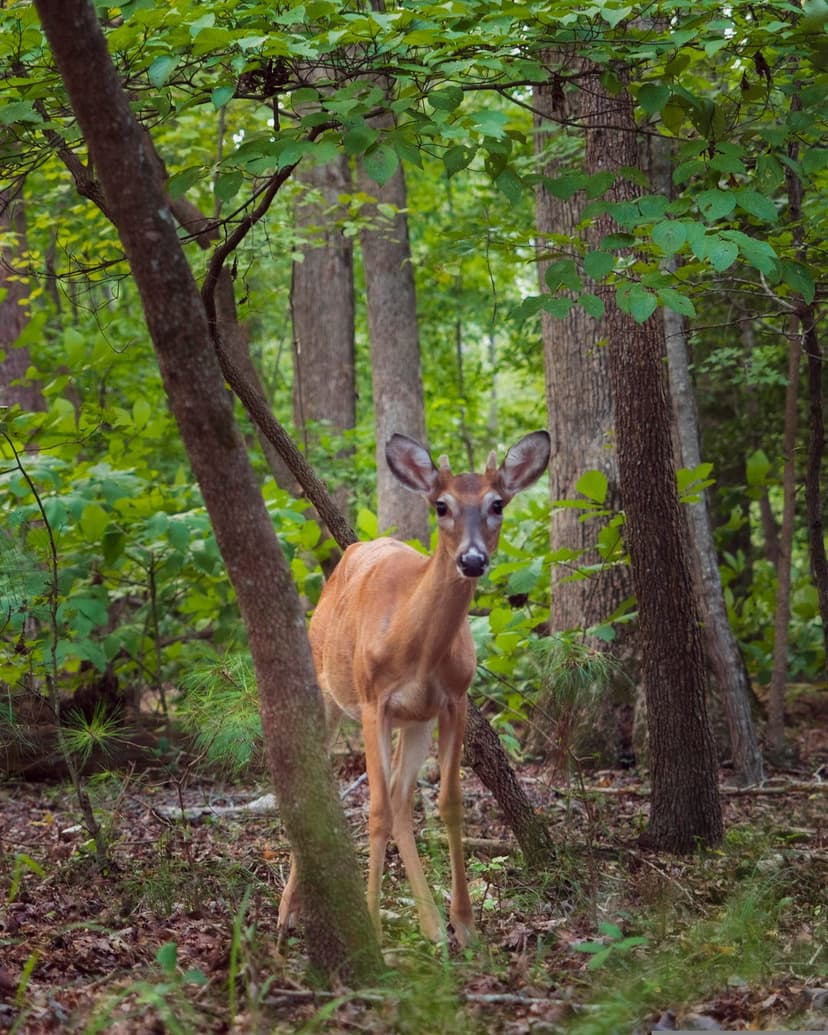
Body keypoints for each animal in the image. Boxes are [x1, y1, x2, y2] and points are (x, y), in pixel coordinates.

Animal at [277, 429, 551, 947]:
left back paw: (433, 927)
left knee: (405, 800)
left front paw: (465, 925)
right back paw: (287, 914)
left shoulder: (454, 701)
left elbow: (448, 805)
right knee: (331, 786)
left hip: (415, 721)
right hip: (330, 695)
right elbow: (376, 811)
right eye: (441, 505)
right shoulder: (373, 702)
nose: (472, 559)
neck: (416, 647)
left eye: (498, 504)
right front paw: (371, 927)